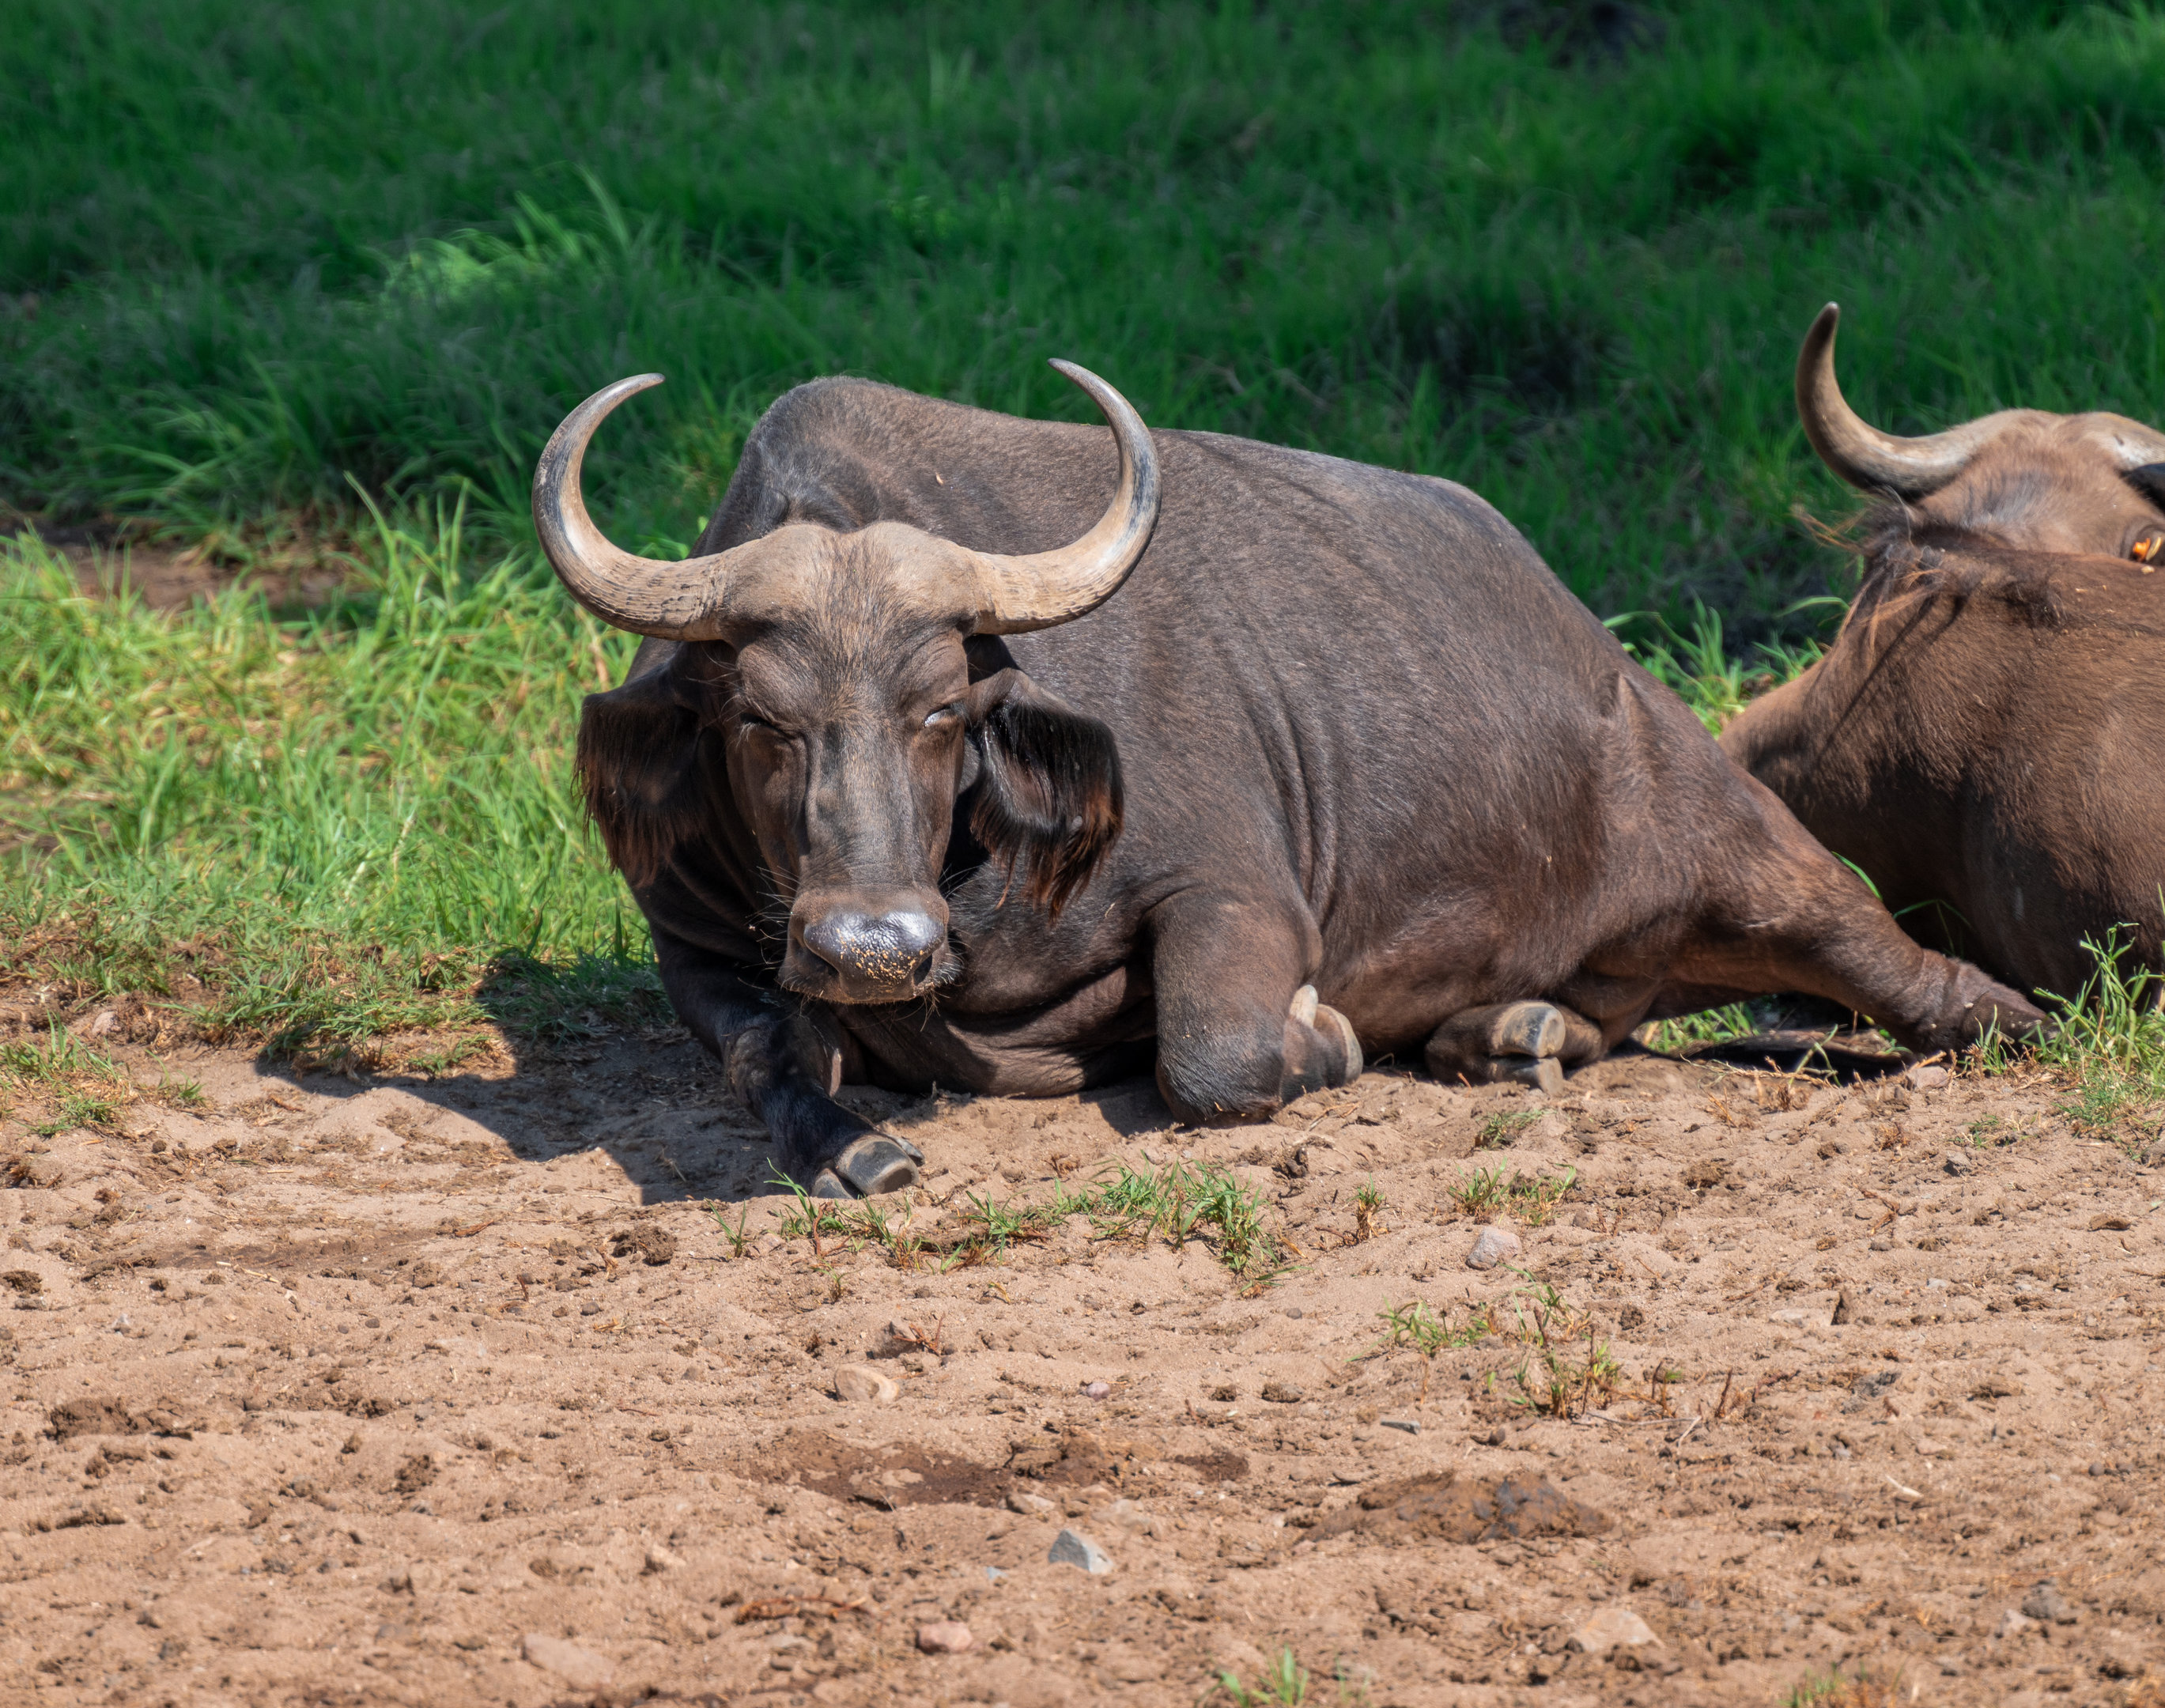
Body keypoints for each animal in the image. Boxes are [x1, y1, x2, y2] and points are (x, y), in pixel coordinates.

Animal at [536, 361, 2045, 1197]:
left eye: (942, 710)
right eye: (758, 718)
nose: (871, 946)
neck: (965, 879)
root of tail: (1608, 665)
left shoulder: (1232, 894)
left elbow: (1215, 1061)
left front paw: (1322, 1040)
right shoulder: (696, 946)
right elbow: (764, 1053)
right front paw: (854, 1145)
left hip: (1750, 853)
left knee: (1894, 965)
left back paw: (2007, 1015)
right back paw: (1512, 1034)